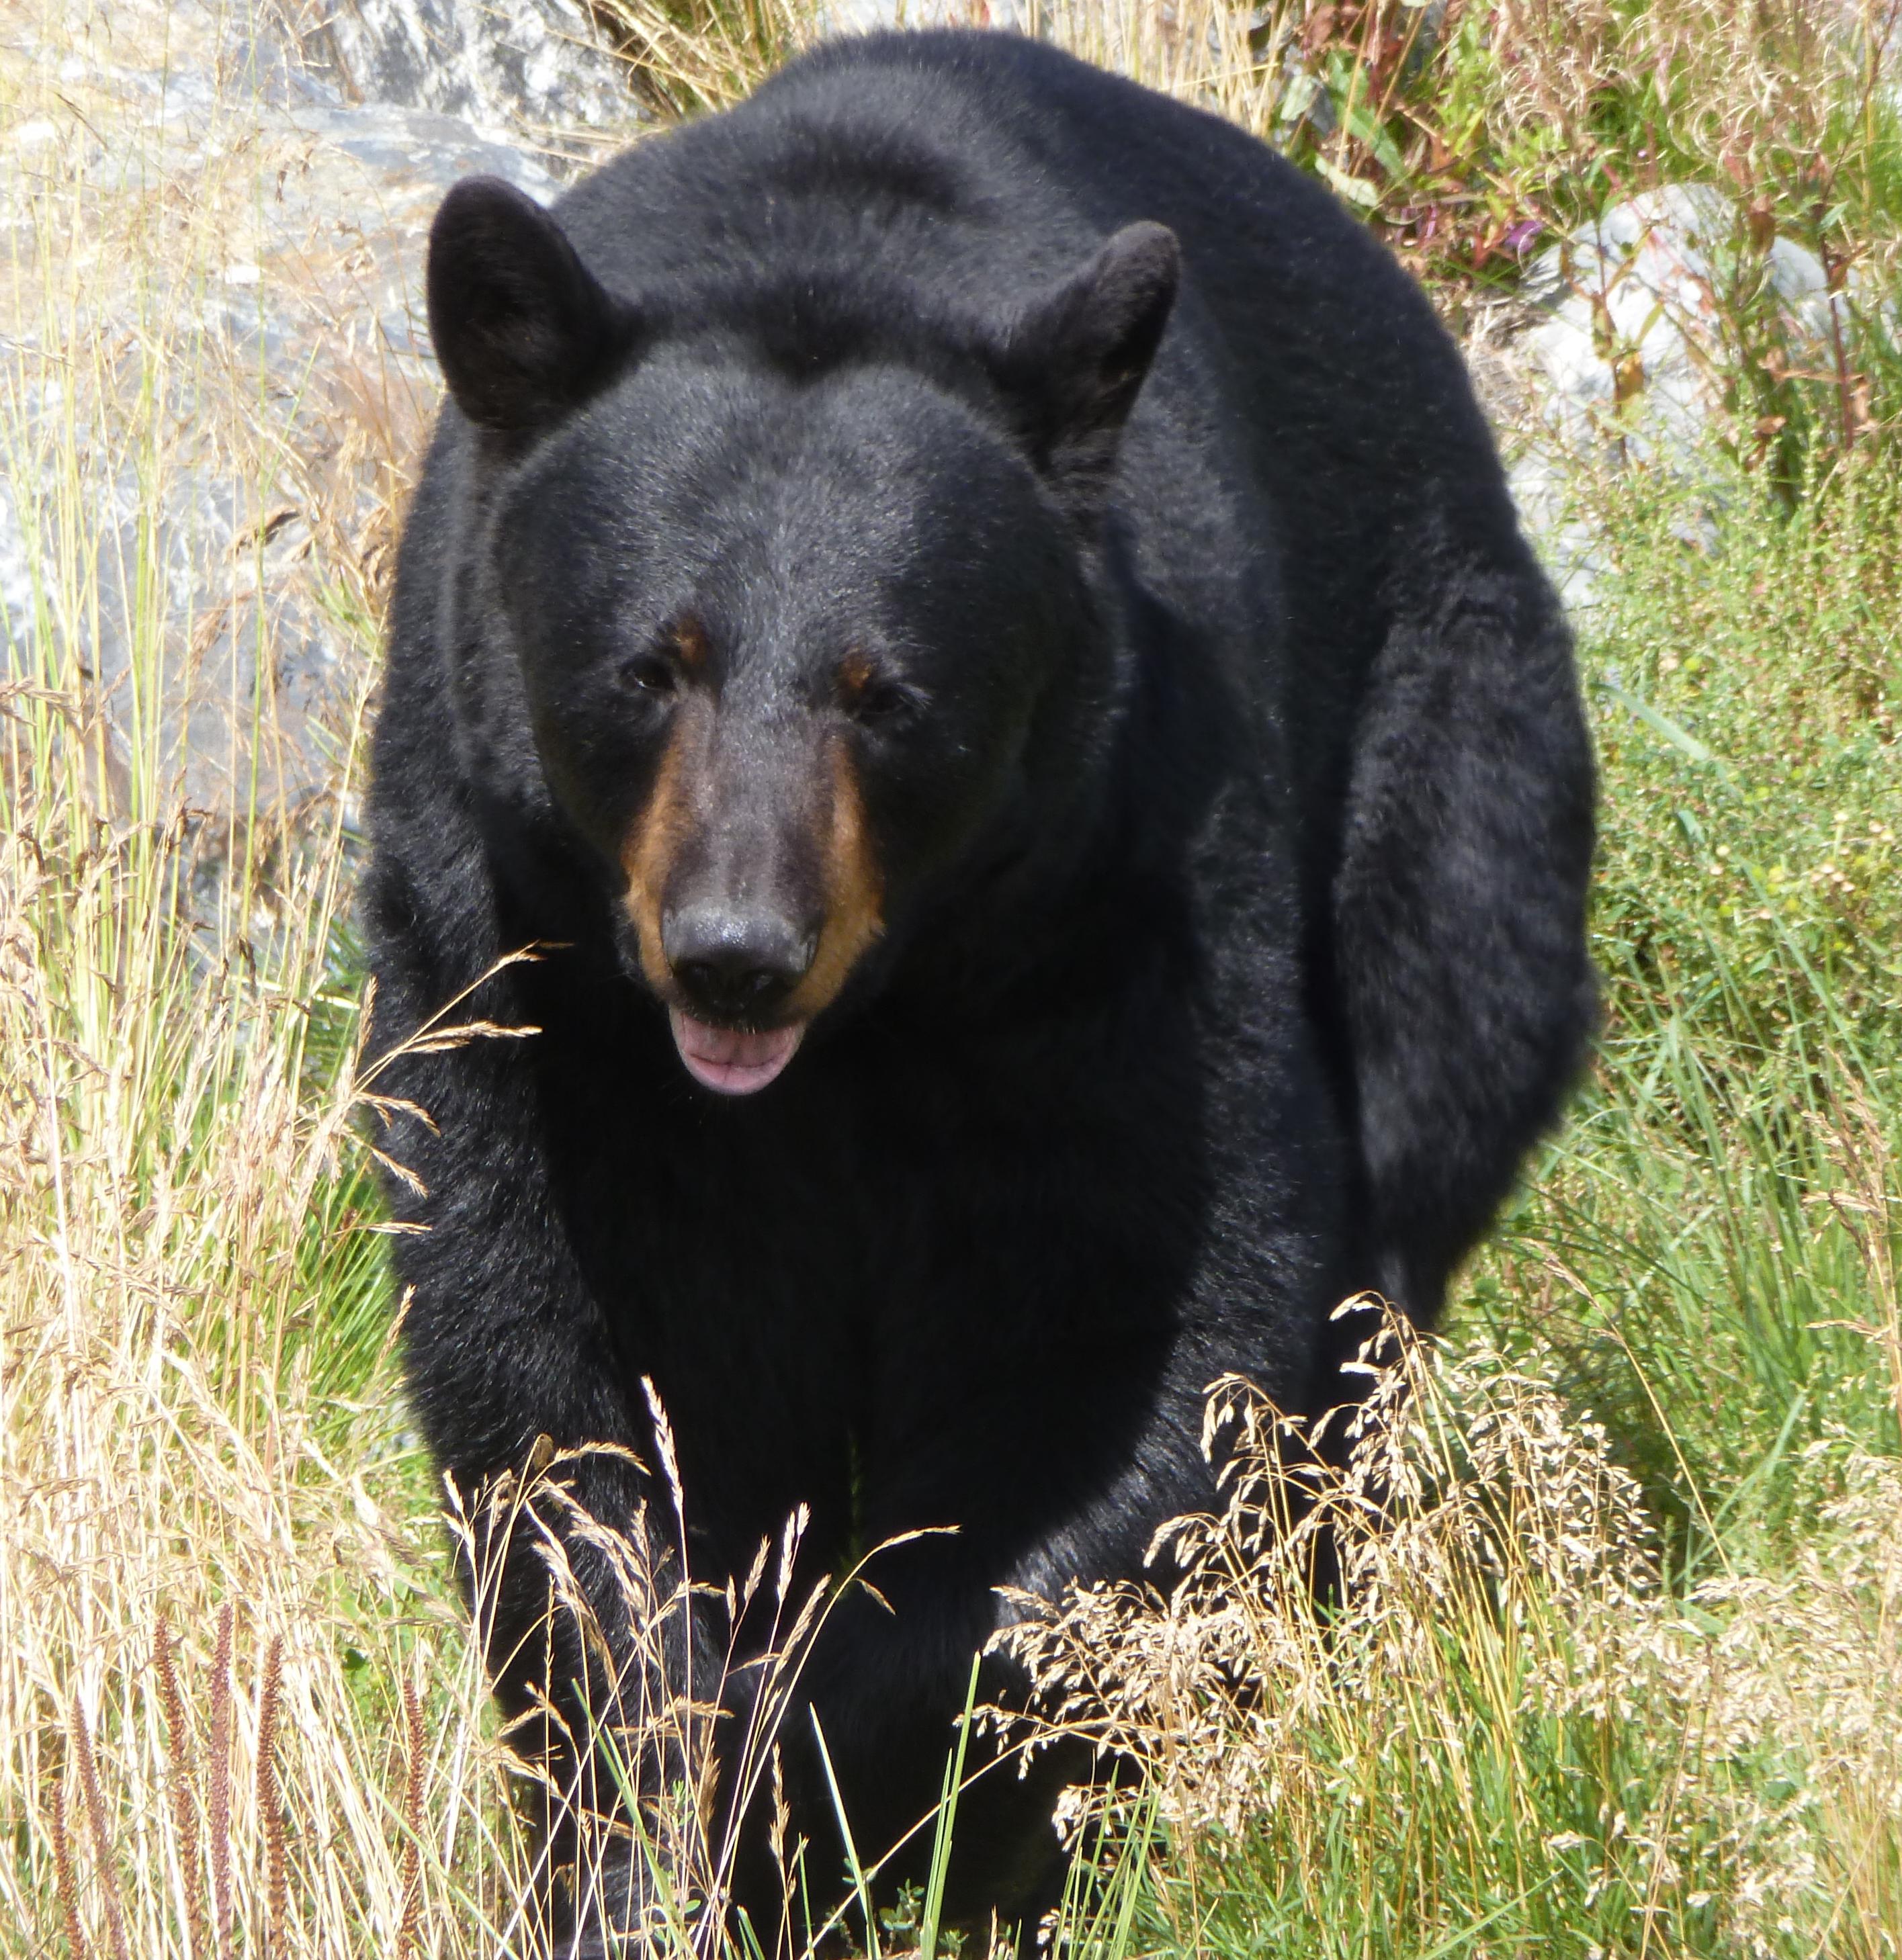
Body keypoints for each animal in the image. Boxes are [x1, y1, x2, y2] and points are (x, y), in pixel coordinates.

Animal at [363, 26, 1595, 1955]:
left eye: (889, 690)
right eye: (650, 663)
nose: (732, 948)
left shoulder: (1118, 916)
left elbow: (1155, 1343)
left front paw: (838, 1786)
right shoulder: (507, 950)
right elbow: (545, 1399)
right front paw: (655, 1836)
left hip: (1450, 778)